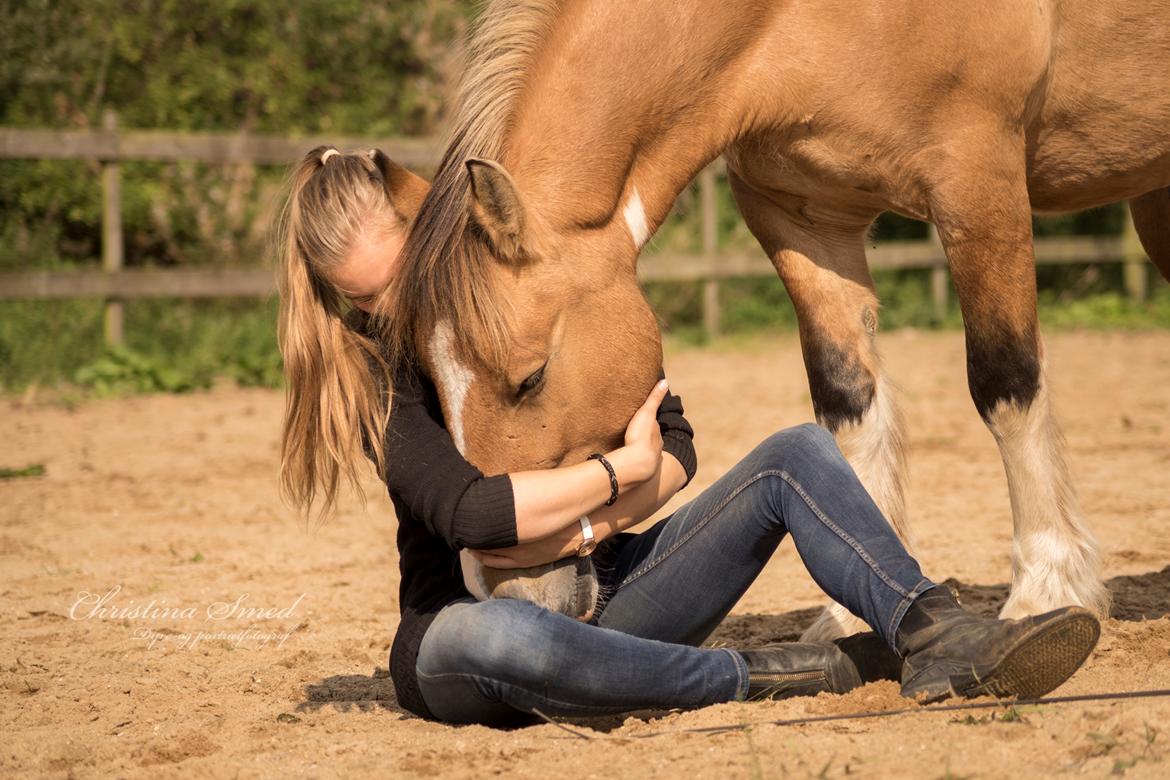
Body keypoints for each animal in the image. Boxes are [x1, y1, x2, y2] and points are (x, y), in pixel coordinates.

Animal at [376, 0, 1170, 636]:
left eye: (531, 377)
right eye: (430, 393)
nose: (506, 590)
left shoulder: (978, 184)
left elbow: (1006, 385)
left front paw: (1047, 589)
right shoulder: (802, 217)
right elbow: (848, 406)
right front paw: (850, 615)